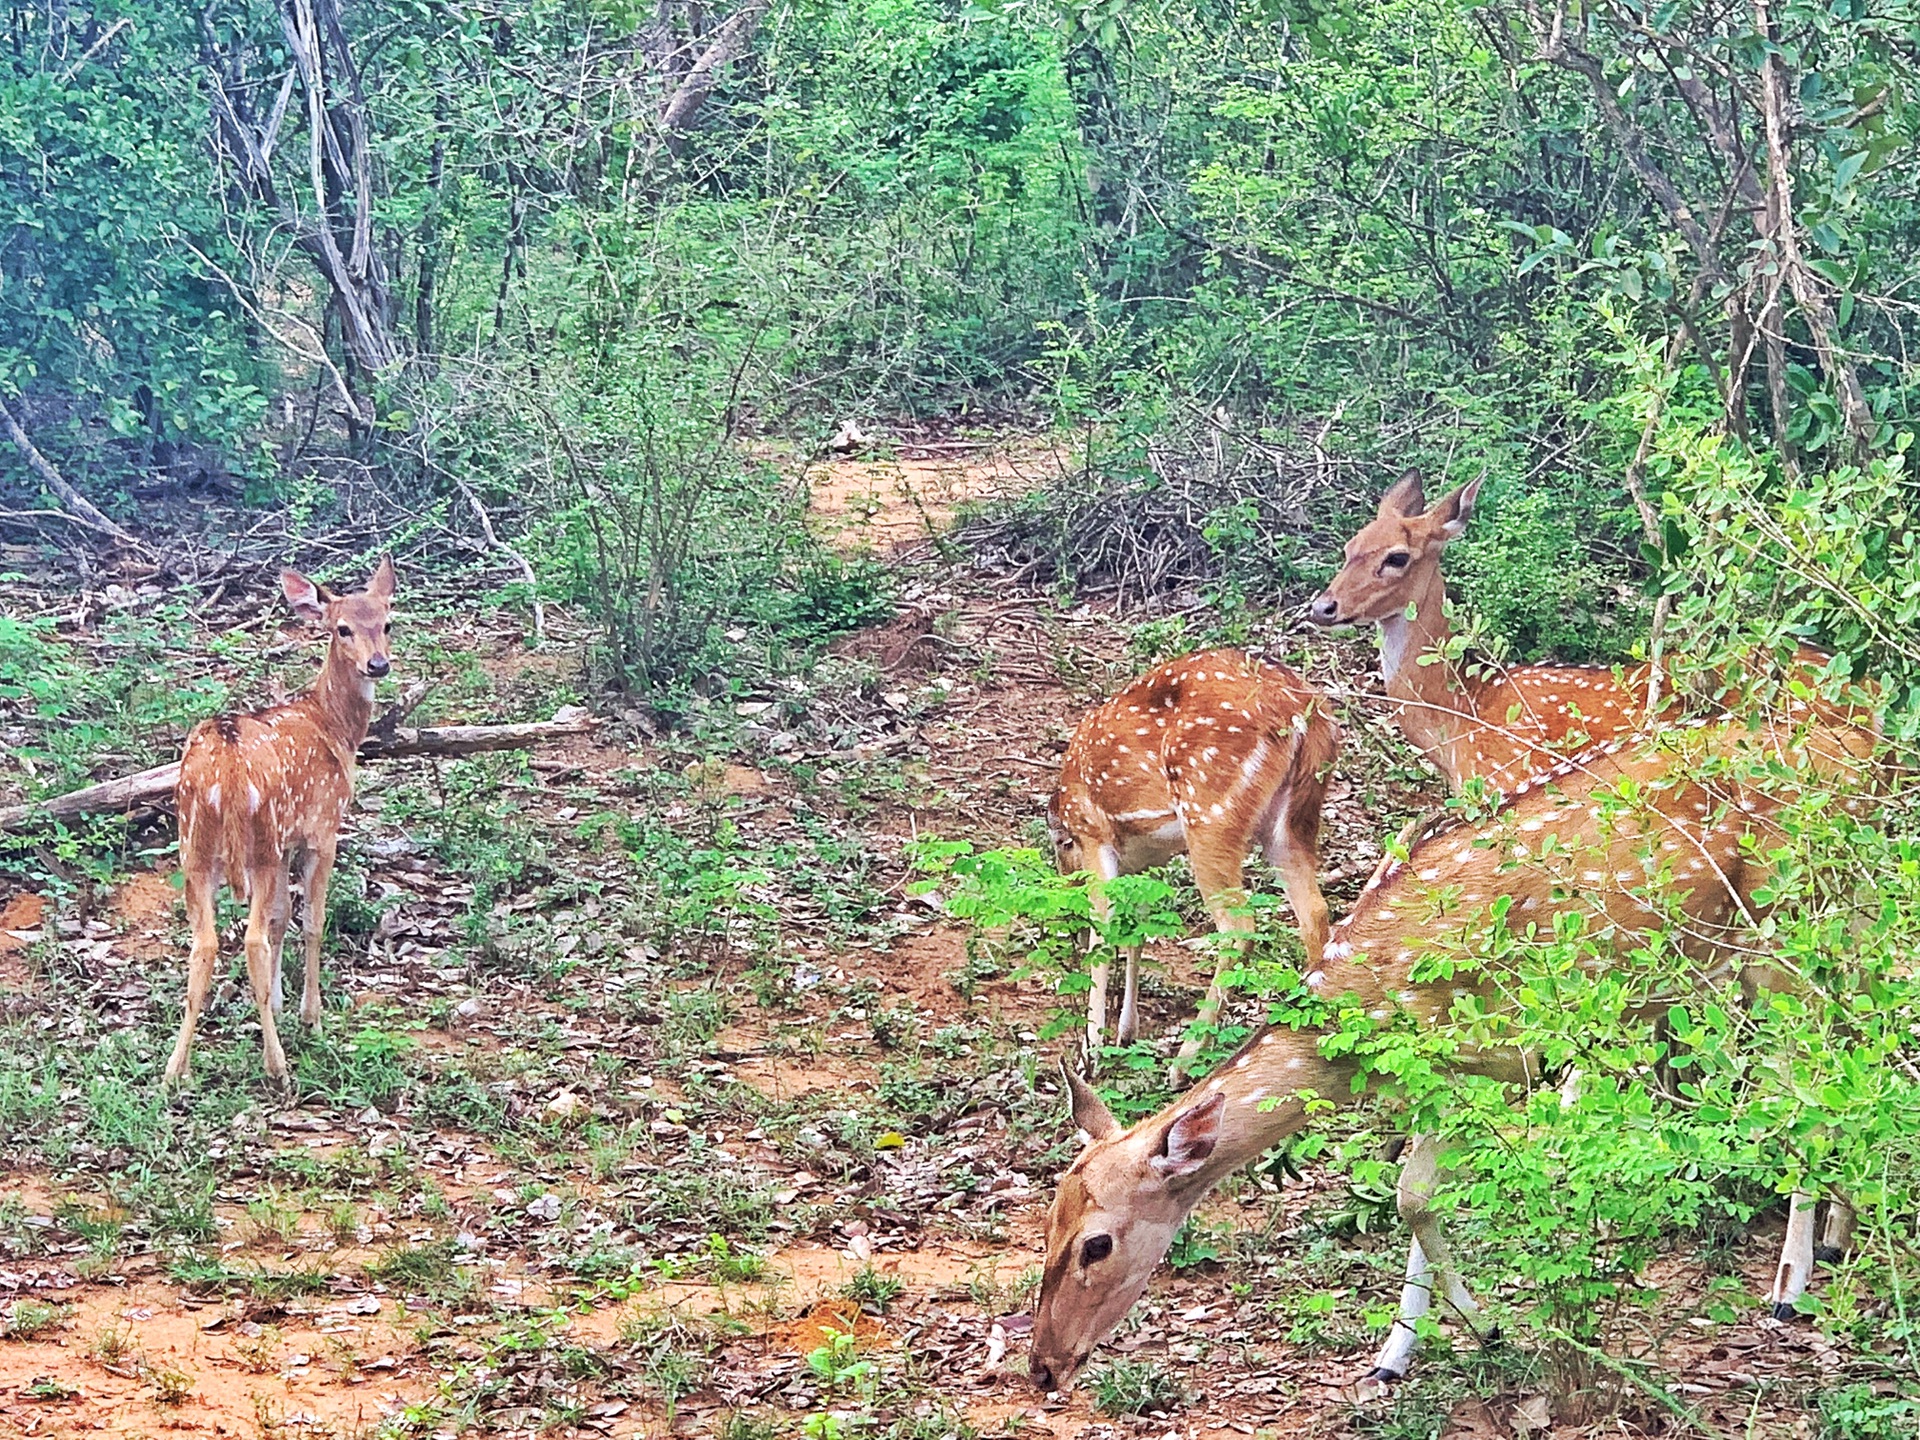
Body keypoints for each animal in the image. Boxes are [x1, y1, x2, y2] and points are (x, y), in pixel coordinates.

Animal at [167, 556, 399, 1090]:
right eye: (342, 628)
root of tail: (227, 774)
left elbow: (280, 916)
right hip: (259, 844)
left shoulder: (289, 839)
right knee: (247, 940)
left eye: (387, 623)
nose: (378, 664)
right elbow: (311, 919)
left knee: (204, 944)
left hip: (196, 848)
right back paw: (277, 1066)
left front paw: (276, 998)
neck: (334, 727)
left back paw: (174, 1071)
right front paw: (310, 1015)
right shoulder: (321, 827)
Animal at [1029, 710, 1881, 1397]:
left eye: (1097, 1244)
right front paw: (1395, 1357)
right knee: (1859, 1037)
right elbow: (1415, 1197)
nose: (1042, 1365)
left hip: (1788, 922)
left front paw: (1489, 1326)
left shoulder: (1500, 1058)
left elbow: (1415, 1193)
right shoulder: (1441, 1080)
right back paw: (1838, 1237)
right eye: (1046, 1224)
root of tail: (1860, 758)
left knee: (1811, 1078)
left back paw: (1790, 1284)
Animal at [1052, 652, 1336, 1082]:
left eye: (1060, 848)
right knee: (1314, 913)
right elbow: (1137, 931)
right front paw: (1126, 1033)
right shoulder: (1148, 860)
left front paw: (1092, 1050)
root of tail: (1301, 713)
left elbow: (1104, 928)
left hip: (1210, 809)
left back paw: (1184, 1063)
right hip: (1294, 818)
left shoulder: (1094, 835)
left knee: (1239, 927)